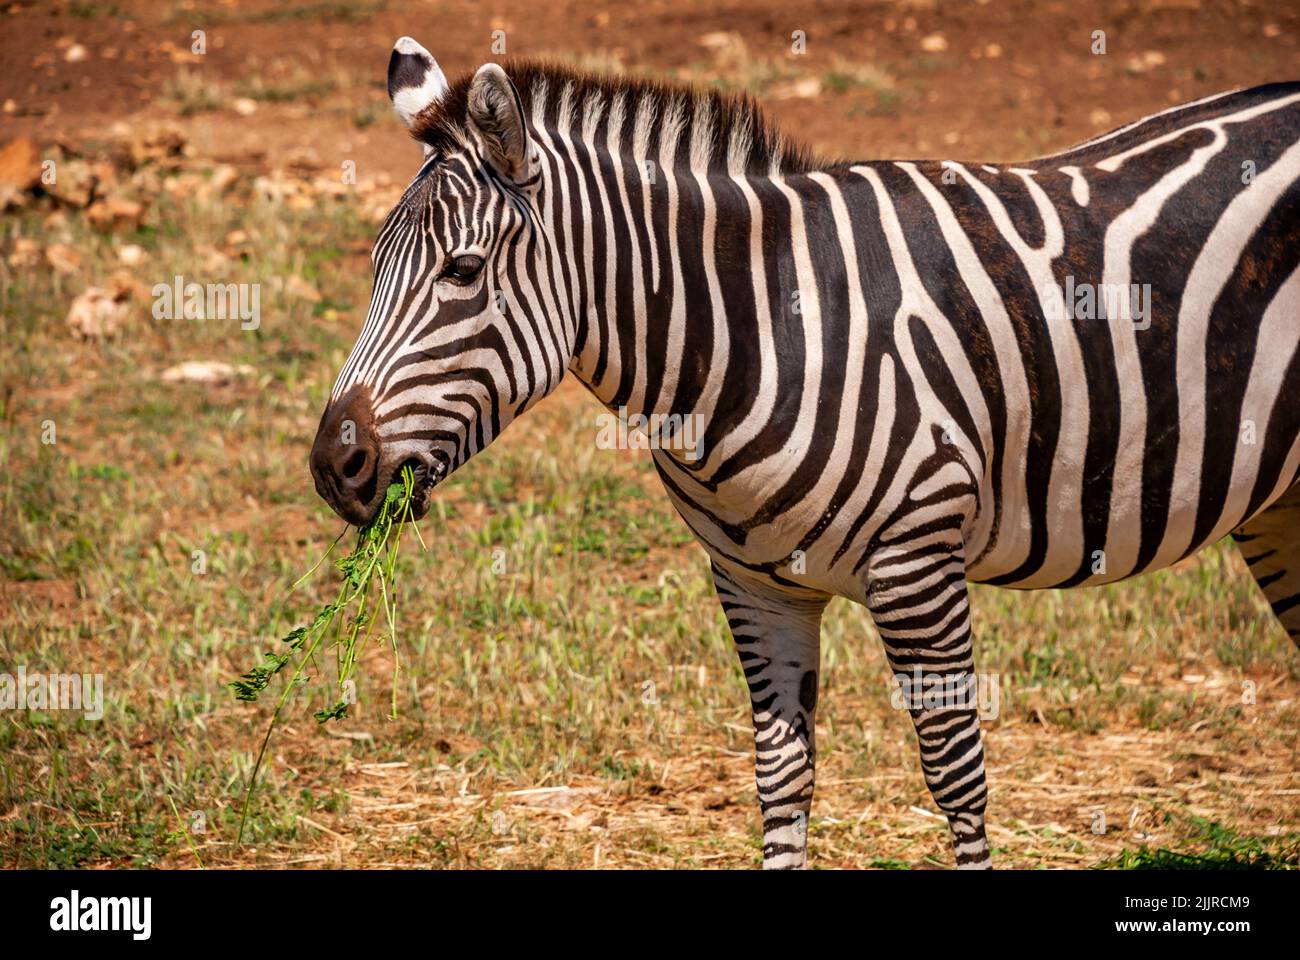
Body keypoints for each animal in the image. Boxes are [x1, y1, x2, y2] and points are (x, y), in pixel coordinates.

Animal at [306, 35, 1300, 868]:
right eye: (372, 269)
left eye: (463, 273)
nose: (332, 466)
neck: (759, 333)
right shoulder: (756, 585)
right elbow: (781, 781)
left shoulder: (917, 567)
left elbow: (957, 778)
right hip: (1281, 503)